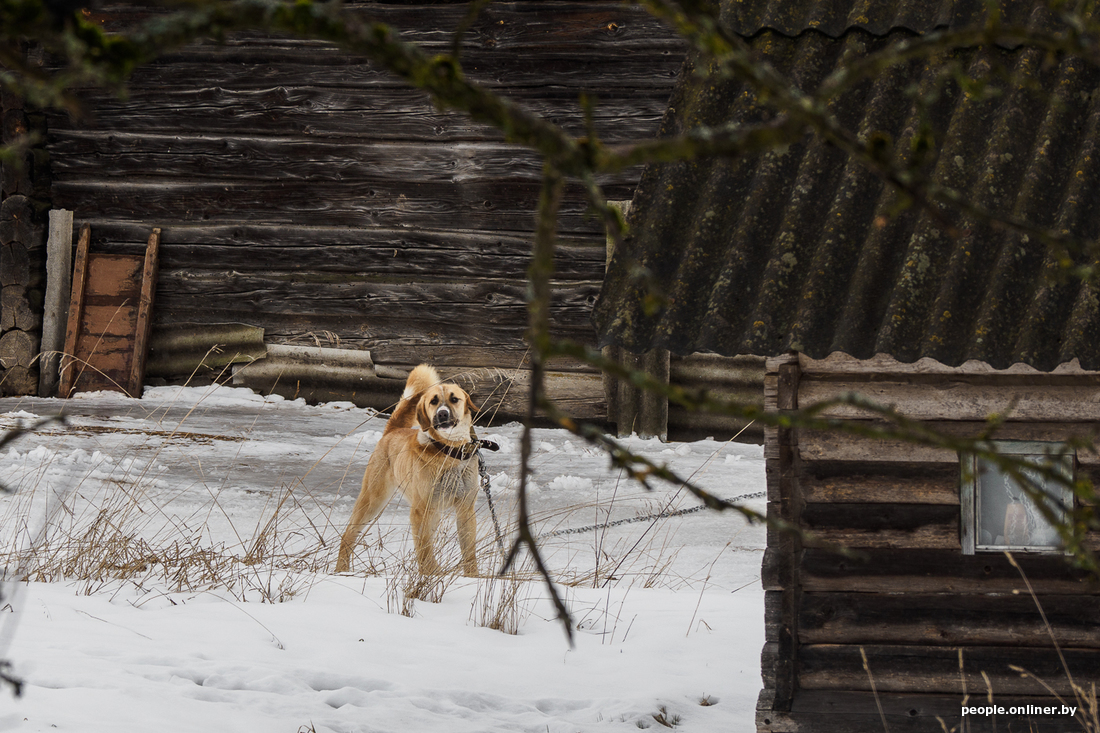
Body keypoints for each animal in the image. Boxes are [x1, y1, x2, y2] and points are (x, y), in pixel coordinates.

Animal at [336, 363, 484, 572]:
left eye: (454, 399)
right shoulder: (420, 511)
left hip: (433, 514)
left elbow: (469, 553)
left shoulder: (465, 510)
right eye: (433, 401)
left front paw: (472, 577)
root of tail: (392, 430)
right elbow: (425, 551)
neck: (448, 452)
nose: (442, 414)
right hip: (372, 500)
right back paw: (341, 570)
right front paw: (431, 574)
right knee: (348, 535)